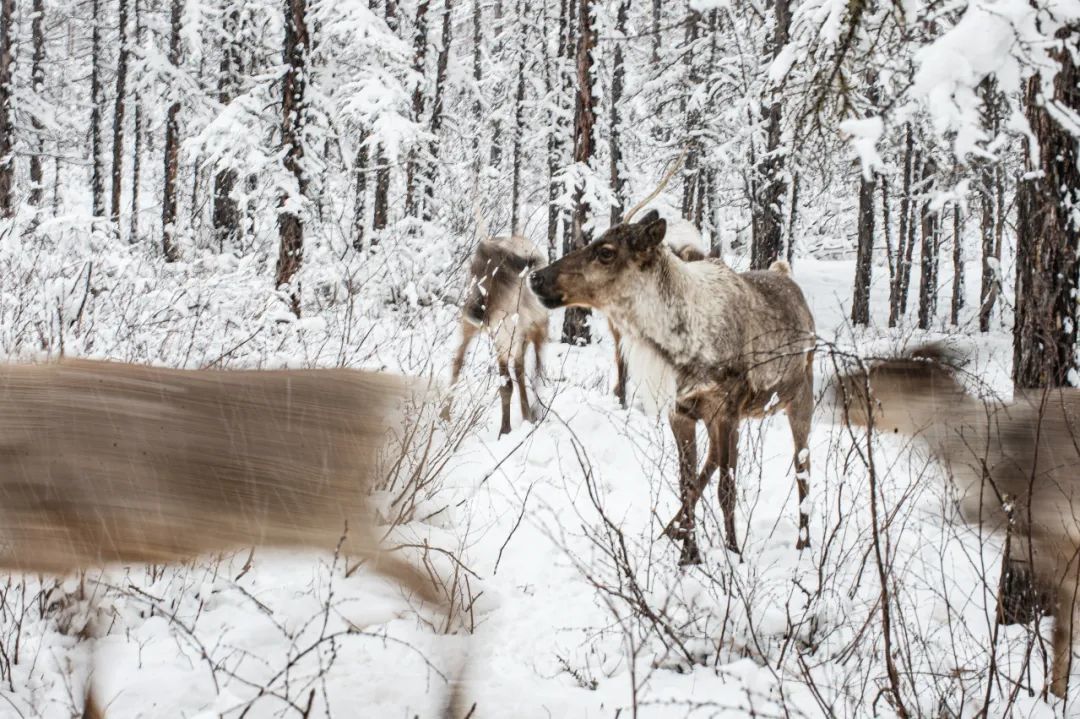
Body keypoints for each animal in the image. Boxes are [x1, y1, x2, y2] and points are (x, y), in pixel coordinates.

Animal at [448, 233, 549, 437]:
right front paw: (505, 430)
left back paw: (526, 414)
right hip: (477, 330)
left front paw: (534, 412)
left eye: (499, 273)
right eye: (473, 271)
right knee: (458, 361)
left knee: (519, 368)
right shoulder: (501, 337)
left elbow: (536, 373)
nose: (473, 312)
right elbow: (506, 384)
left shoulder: (539, 329)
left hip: (518, 338)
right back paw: (443, 416)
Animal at [528, 207, 816, 565]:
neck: (679, 348)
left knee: (803, 468)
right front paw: (689, 555)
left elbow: (727, 489)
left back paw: (804, 543)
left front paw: (733, 554)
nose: (536, 277)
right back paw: (671, 529)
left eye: (606, 252)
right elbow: (687, 483)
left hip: (800, 396)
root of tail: (785, 273)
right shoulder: (680, 412)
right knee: (713, 459)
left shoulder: (727, 410)